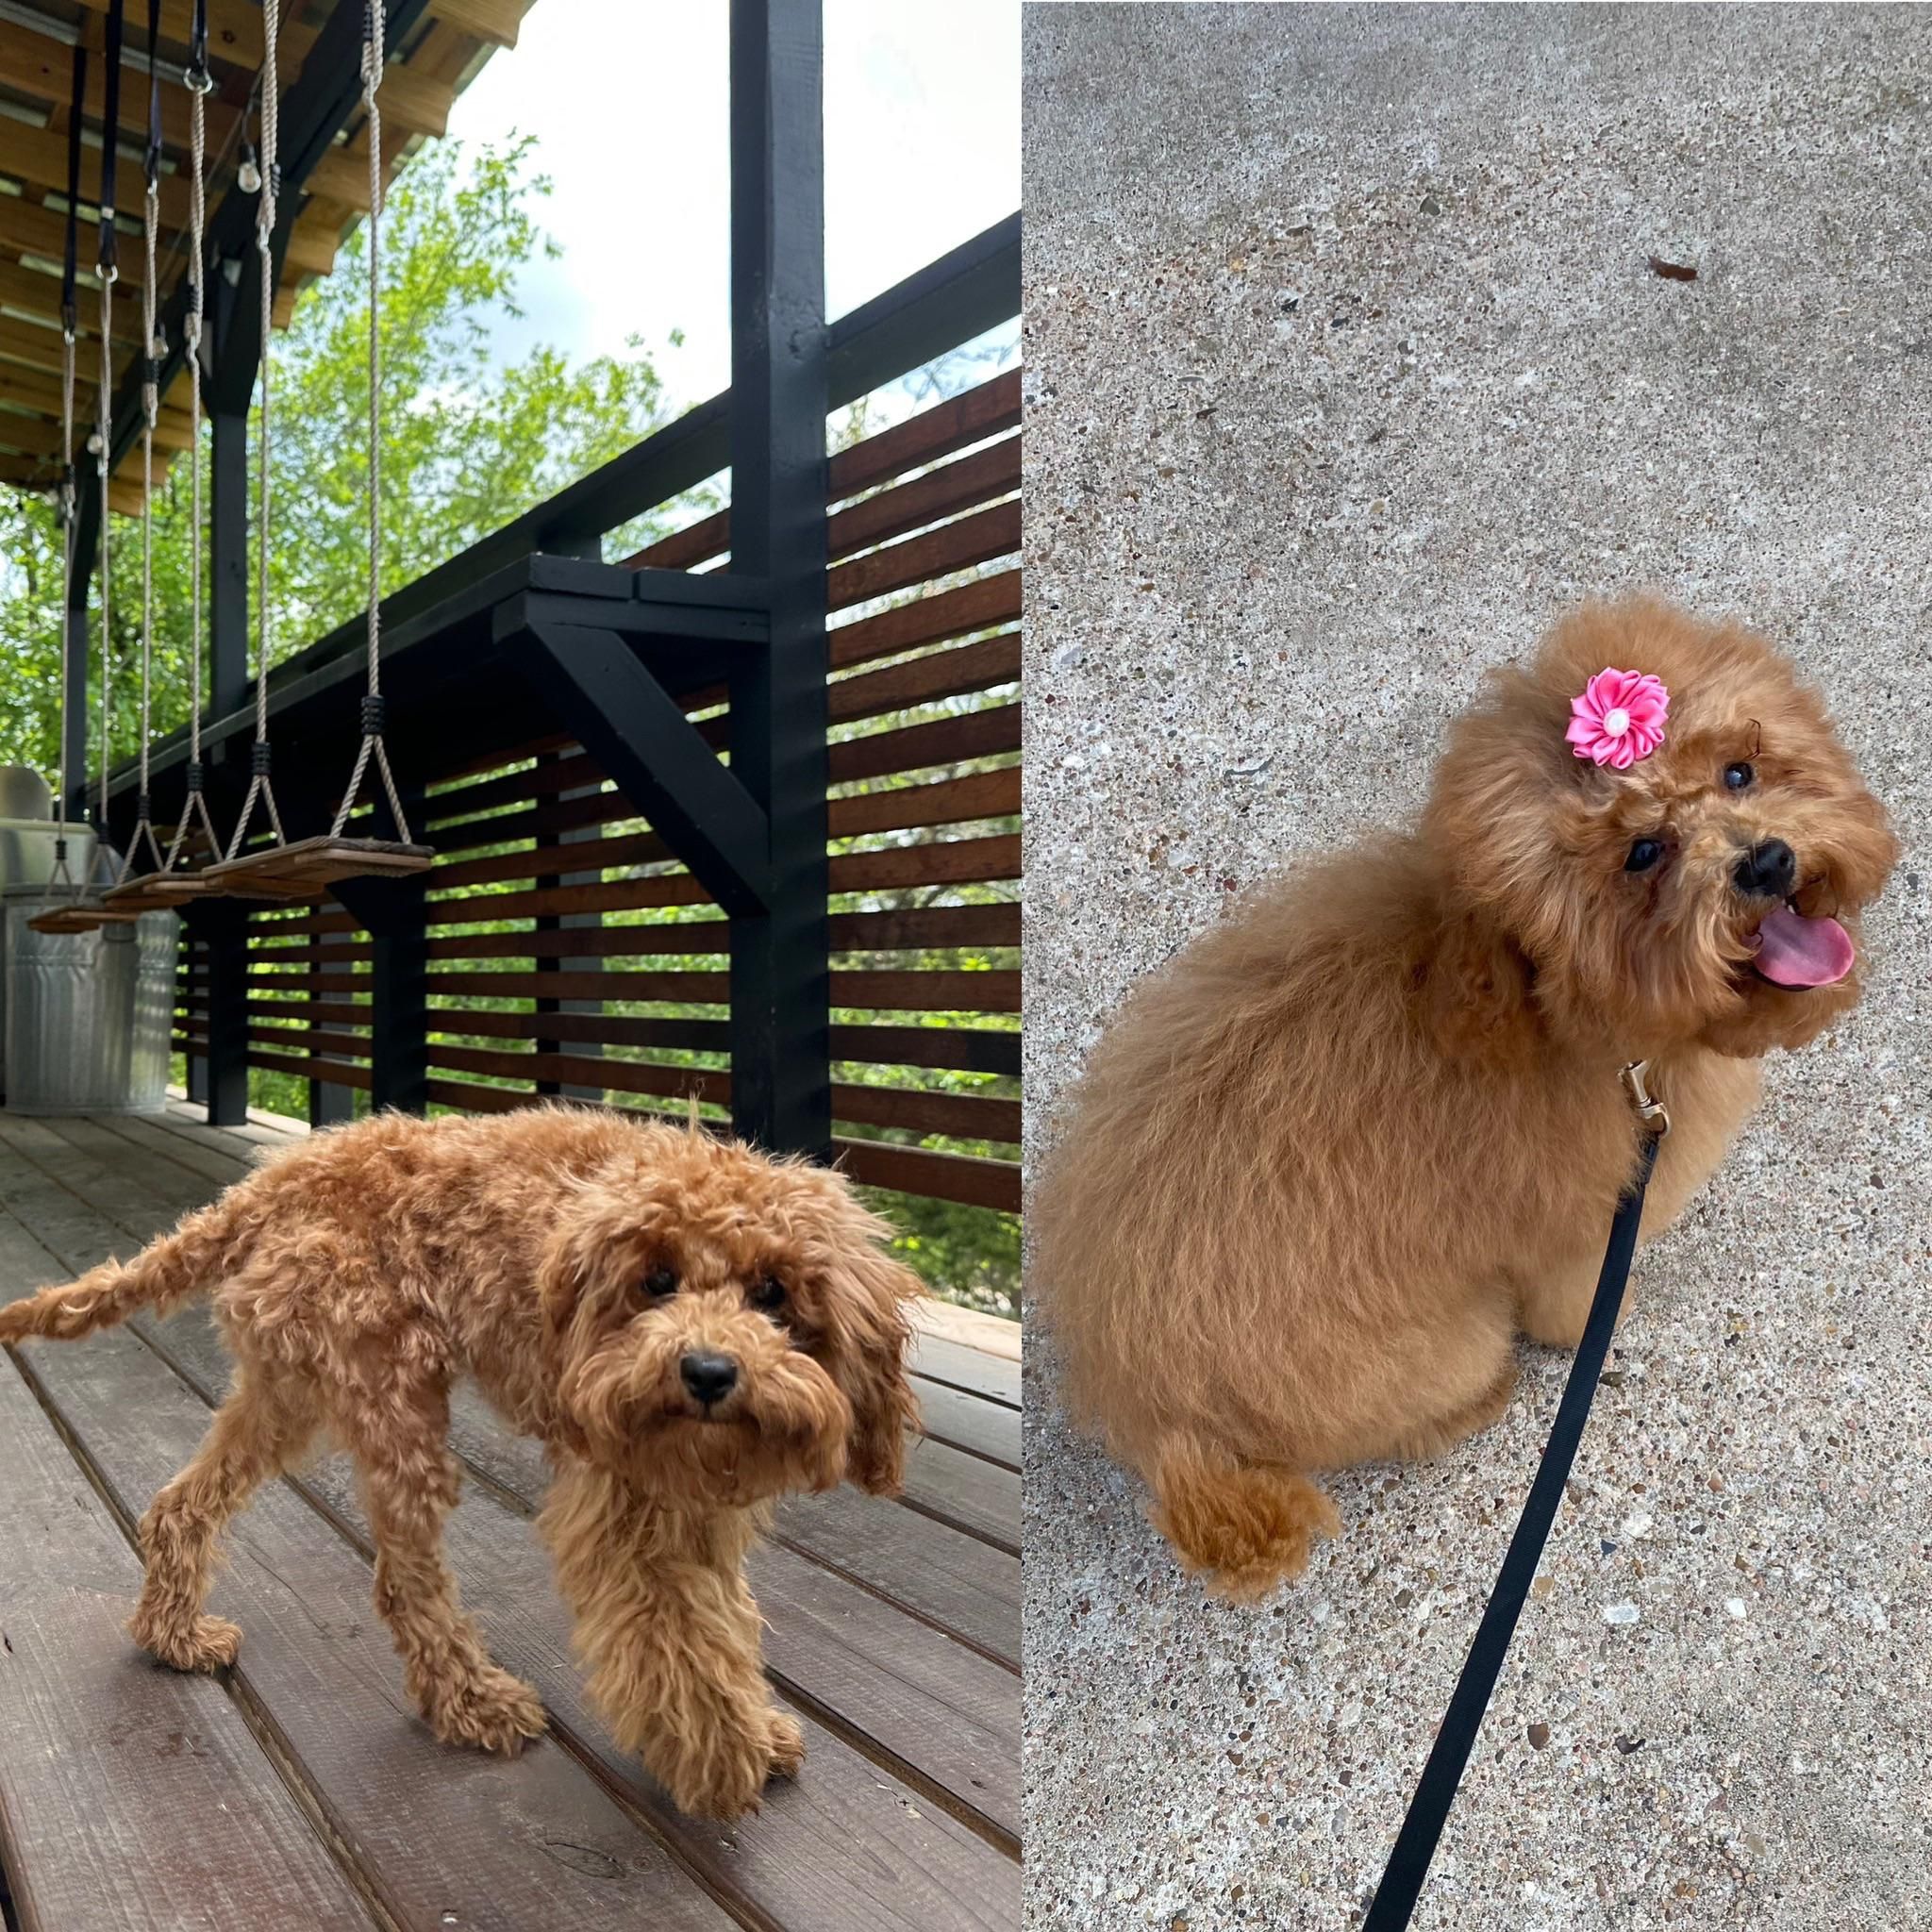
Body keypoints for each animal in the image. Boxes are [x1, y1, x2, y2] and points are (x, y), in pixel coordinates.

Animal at [0, 1112, 919, 1816]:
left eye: (774, 1293)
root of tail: (272, 1182)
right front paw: (721, 1761)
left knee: (181, 1503)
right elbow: (680, 1639)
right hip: (392, 1394)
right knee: (406, 1585)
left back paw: (174, 1636)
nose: (707, 1372)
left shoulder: (692, 1502)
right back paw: (472, 1702)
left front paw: (753, 1731)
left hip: (285, 1390)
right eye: (656, 1279)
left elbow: (720, 1620)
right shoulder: (626, 1501)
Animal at [1035, 598, 1893, 1599]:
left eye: (1740, 771)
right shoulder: (1578, 1234)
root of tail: (1150, 1409)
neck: (1561, 1016)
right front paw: (1600, 1330)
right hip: (1433, 1348)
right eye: (1643, 852)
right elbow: (1571, 1310)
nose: (1764, 863)